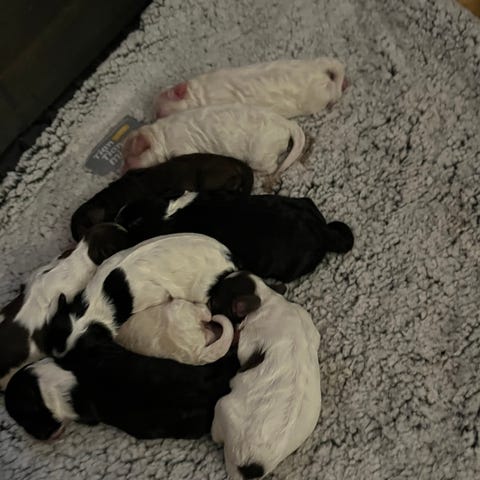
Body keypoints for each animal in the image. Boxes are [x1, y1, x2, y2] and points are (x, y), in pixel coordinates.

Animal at [122, 104, 306, 177]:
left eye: (128, 159)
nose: (122, 171)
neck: (159, 134)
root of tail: (287, 123)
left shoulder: (182, 147)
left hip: (261, 153)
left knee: (271, 167)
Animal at [154, 58, 347, 119]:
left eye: (160, 111)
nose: (155, 114)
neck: (196, 93)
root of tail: (318, 67)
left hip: (319, 95)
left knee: (331, 90)